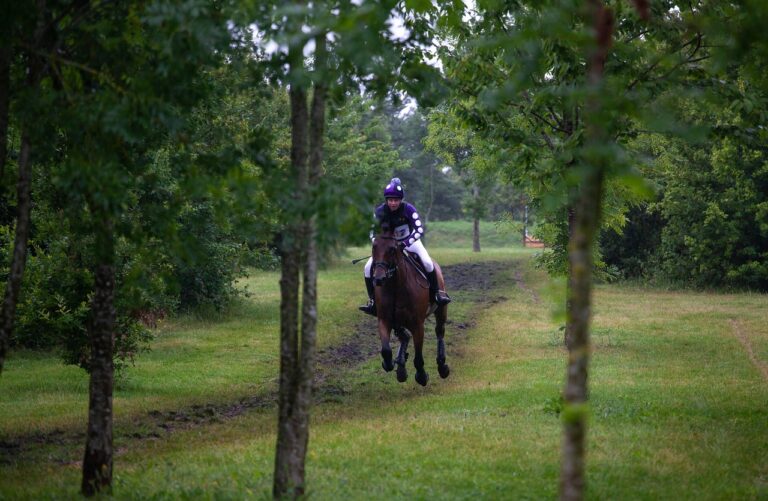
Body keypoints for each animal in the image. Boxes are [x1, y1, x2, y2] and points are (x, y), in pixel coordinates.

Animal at [370, 229, 450, 384]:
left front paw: (422, 376)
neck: (396, 287)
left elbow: (418, 357)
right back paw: (401, 366)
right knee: (404, 336)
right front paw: (390, 363)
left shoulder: (417, 325)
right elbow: (386, 350)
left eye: (392, 249)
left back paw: (442, 365)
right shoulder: (384, 320)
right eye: (374, 247)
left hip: (441, 309)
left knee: (439, 331)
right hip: (398, 321)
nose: (379, 279)